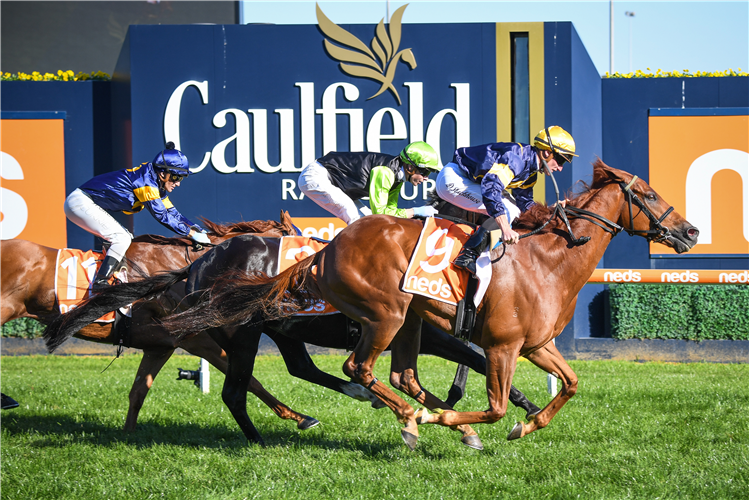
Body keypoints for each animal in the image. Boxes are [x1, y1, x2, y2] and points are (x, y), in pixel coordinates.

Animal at [41, 234, 540, 450]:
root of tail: (196, 266)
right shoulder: (429, 336)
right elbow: (478, 361)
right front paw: (521, 408)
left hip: (278, 331)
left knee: (298, 370)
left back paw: (330, 406)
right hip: (241, 332)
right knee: (234, 391)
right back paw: (260, 438)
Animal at [148, 161, 700, 450]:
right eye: (649, 194)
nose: (692, 231)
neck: (547, 260)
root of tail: (325, 252)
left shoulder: (535, 345)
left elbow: (569, 384)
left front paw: (525, 423)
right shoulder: (500, 346)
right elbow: (495, 405)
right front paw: (451, 422)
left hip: (374, 323)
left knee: (357, 373)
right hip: (377, 316)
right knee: (347, 370)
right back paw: (397, 419)